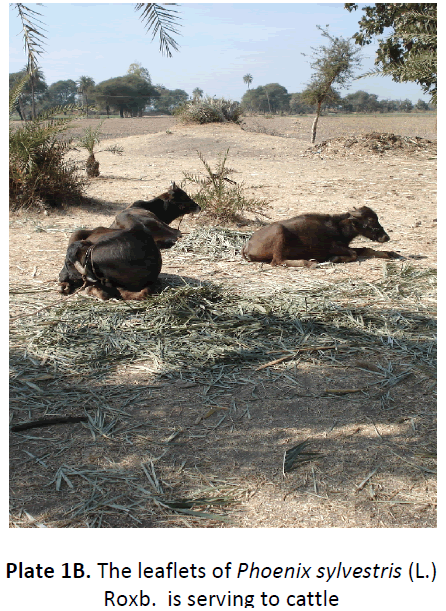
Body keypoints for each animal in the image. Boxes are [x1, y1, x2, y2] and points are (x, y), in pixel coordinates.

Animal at [242, 206, 402, 268]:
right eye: (370, 222)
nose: (385, 237)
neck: (338, 226)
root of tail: (248, 244)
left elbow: (366, 249)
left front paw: (390, 253)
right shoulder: (334, 247)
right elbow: (354, 253)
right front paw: (334, 259)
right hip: (279, 232)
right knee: (277, 261)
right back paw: (310, 263)